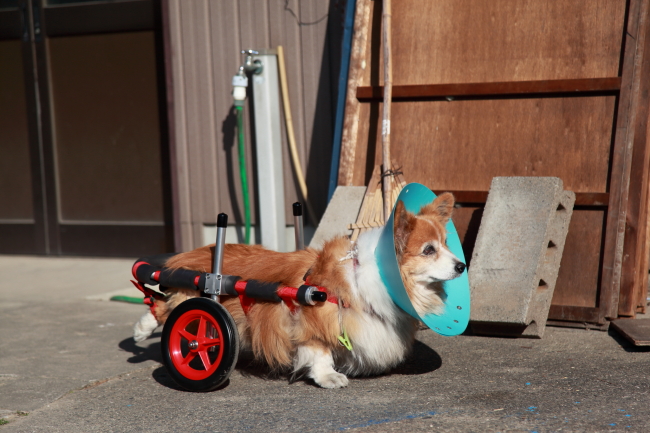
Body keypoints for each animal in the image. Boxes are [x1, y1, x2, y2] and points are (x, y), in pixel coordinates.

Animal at [134, 192, 464, 388]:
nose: (462, 266)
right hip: (201, 300)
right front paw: (329, 376)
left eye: (446, 245)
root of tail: (192, 254)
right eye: (429, 250)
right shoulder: (311, 320)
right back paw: (142, 330)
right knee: (165, 308)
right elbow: (319, 350)